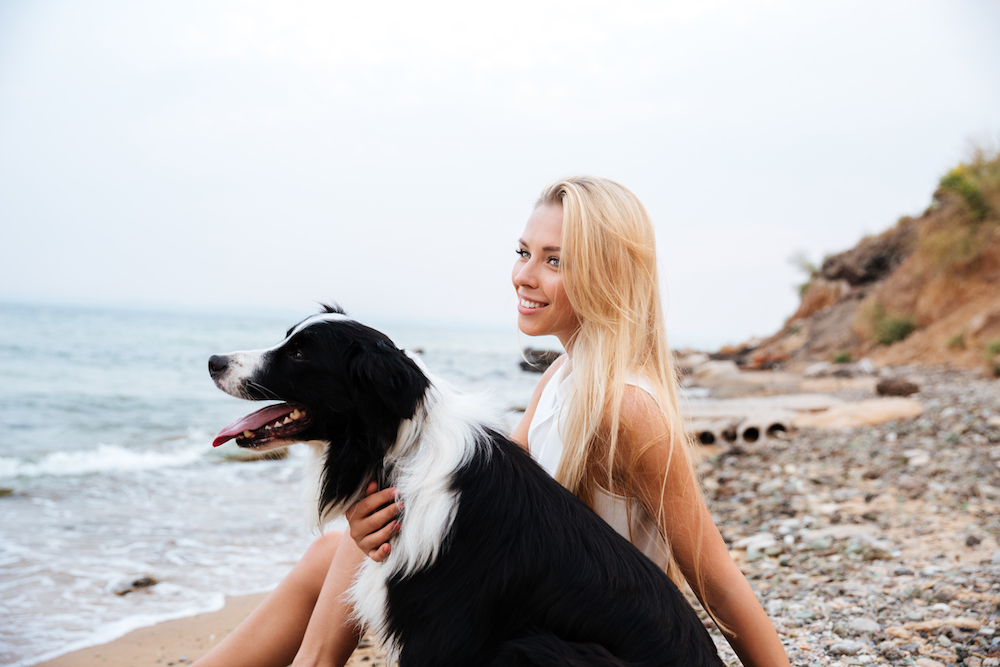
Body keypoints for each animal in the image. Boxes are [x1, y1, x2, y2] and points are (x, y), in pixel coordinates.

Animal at [207, 308, 724, 667]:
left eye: (299, 354)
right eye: (287, 338)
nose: (213, 360)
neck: (399, 453)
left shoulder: (437, 633)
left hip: (533, 646)